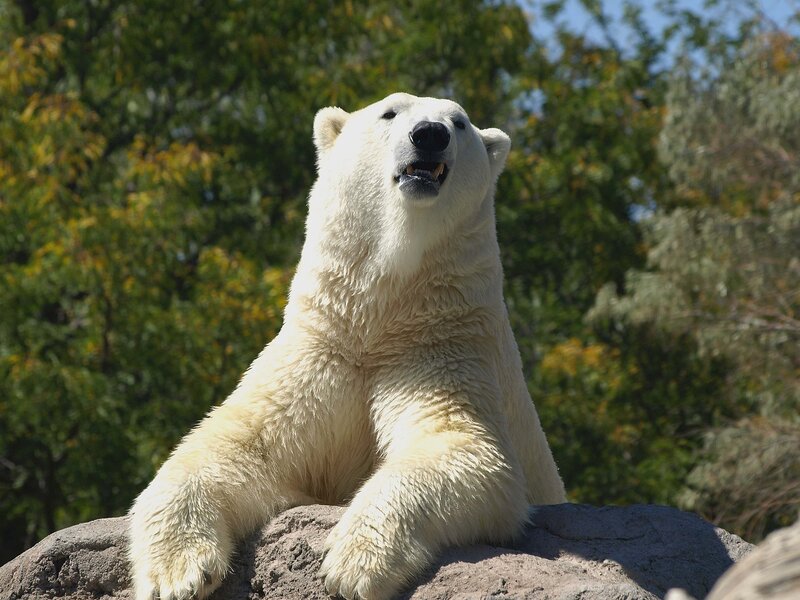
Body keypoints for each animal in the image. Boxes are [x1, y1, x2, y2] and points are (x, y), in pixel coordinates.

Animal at [128, 92, 566, 600]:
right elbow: (235, 446)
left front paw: (352, 565)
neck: (380, 320)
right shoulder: (322, 349)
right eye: (390, 112)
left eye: (459, 122)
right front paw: (178, 574)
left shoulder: (442, 345)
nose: (430, 135)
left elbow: (463, 448)